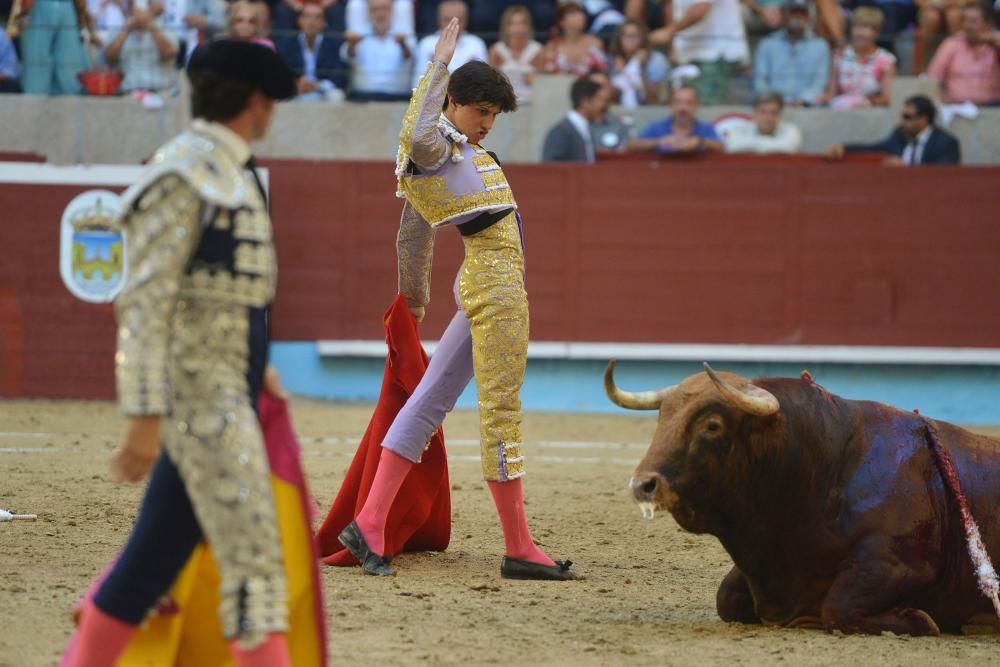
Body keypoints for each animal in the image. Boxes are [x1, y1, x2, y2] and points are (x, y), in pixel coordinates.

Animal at [604, 360, 1000, 636]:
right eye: (662, 418)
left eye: (712, 425)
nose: (643, 485)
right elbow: (726, 598)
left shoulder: (900, 563)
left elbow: (839, 606)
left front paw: (921, 620)